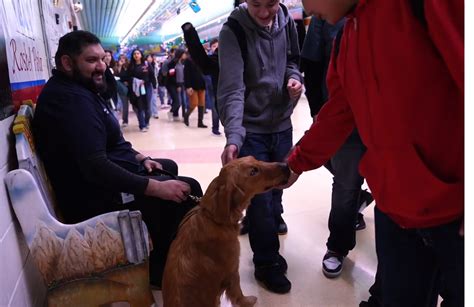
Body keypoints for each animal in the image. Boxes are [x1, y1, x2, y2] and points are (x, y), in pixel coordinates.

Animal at [162, 158, 288, 306]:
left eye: (256, 159)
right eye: (253, 171)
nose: (286, 165)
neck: (211, 217)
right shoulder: (232, 270)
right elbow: (238, 293)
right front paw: (248, 301)